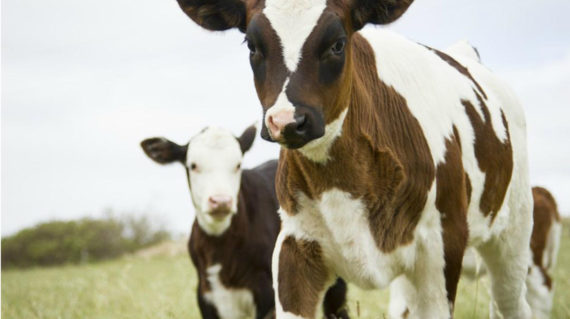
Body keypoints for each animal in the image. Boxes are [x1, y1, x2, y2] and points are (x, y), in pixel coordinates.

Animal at [173, 0, 532, 319]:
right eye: (253, 45)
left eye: (337, 43)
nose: (287, 121)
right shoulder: (293, 248)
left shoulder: (442, 250)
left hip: (513, 237)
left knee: (510, 303)